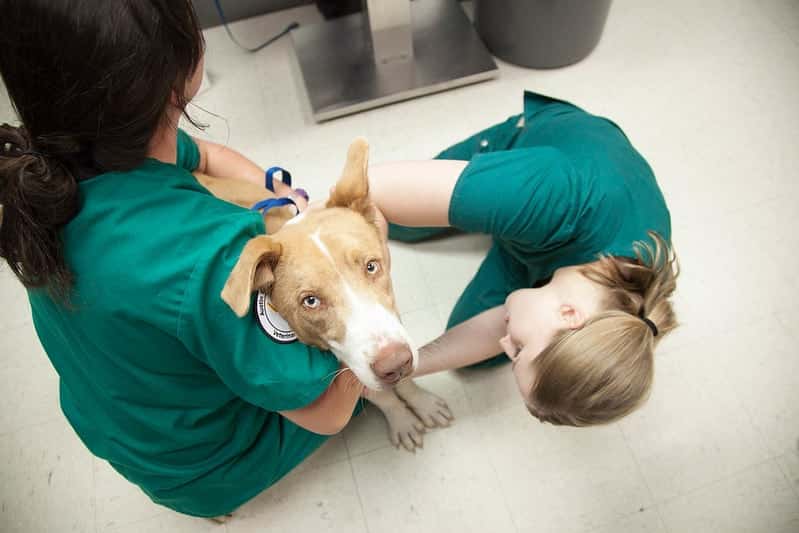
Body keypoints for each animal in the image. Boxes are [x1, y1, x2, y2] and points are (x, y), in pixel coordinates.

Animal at [192, 138, 450, 454]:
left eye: (371, 266)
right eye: (311, 301)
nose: (395, 365)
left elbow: (404, 379)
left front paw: (421, 401)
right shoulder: (346, 366)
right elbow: (379, 394)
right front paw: (402, 418)